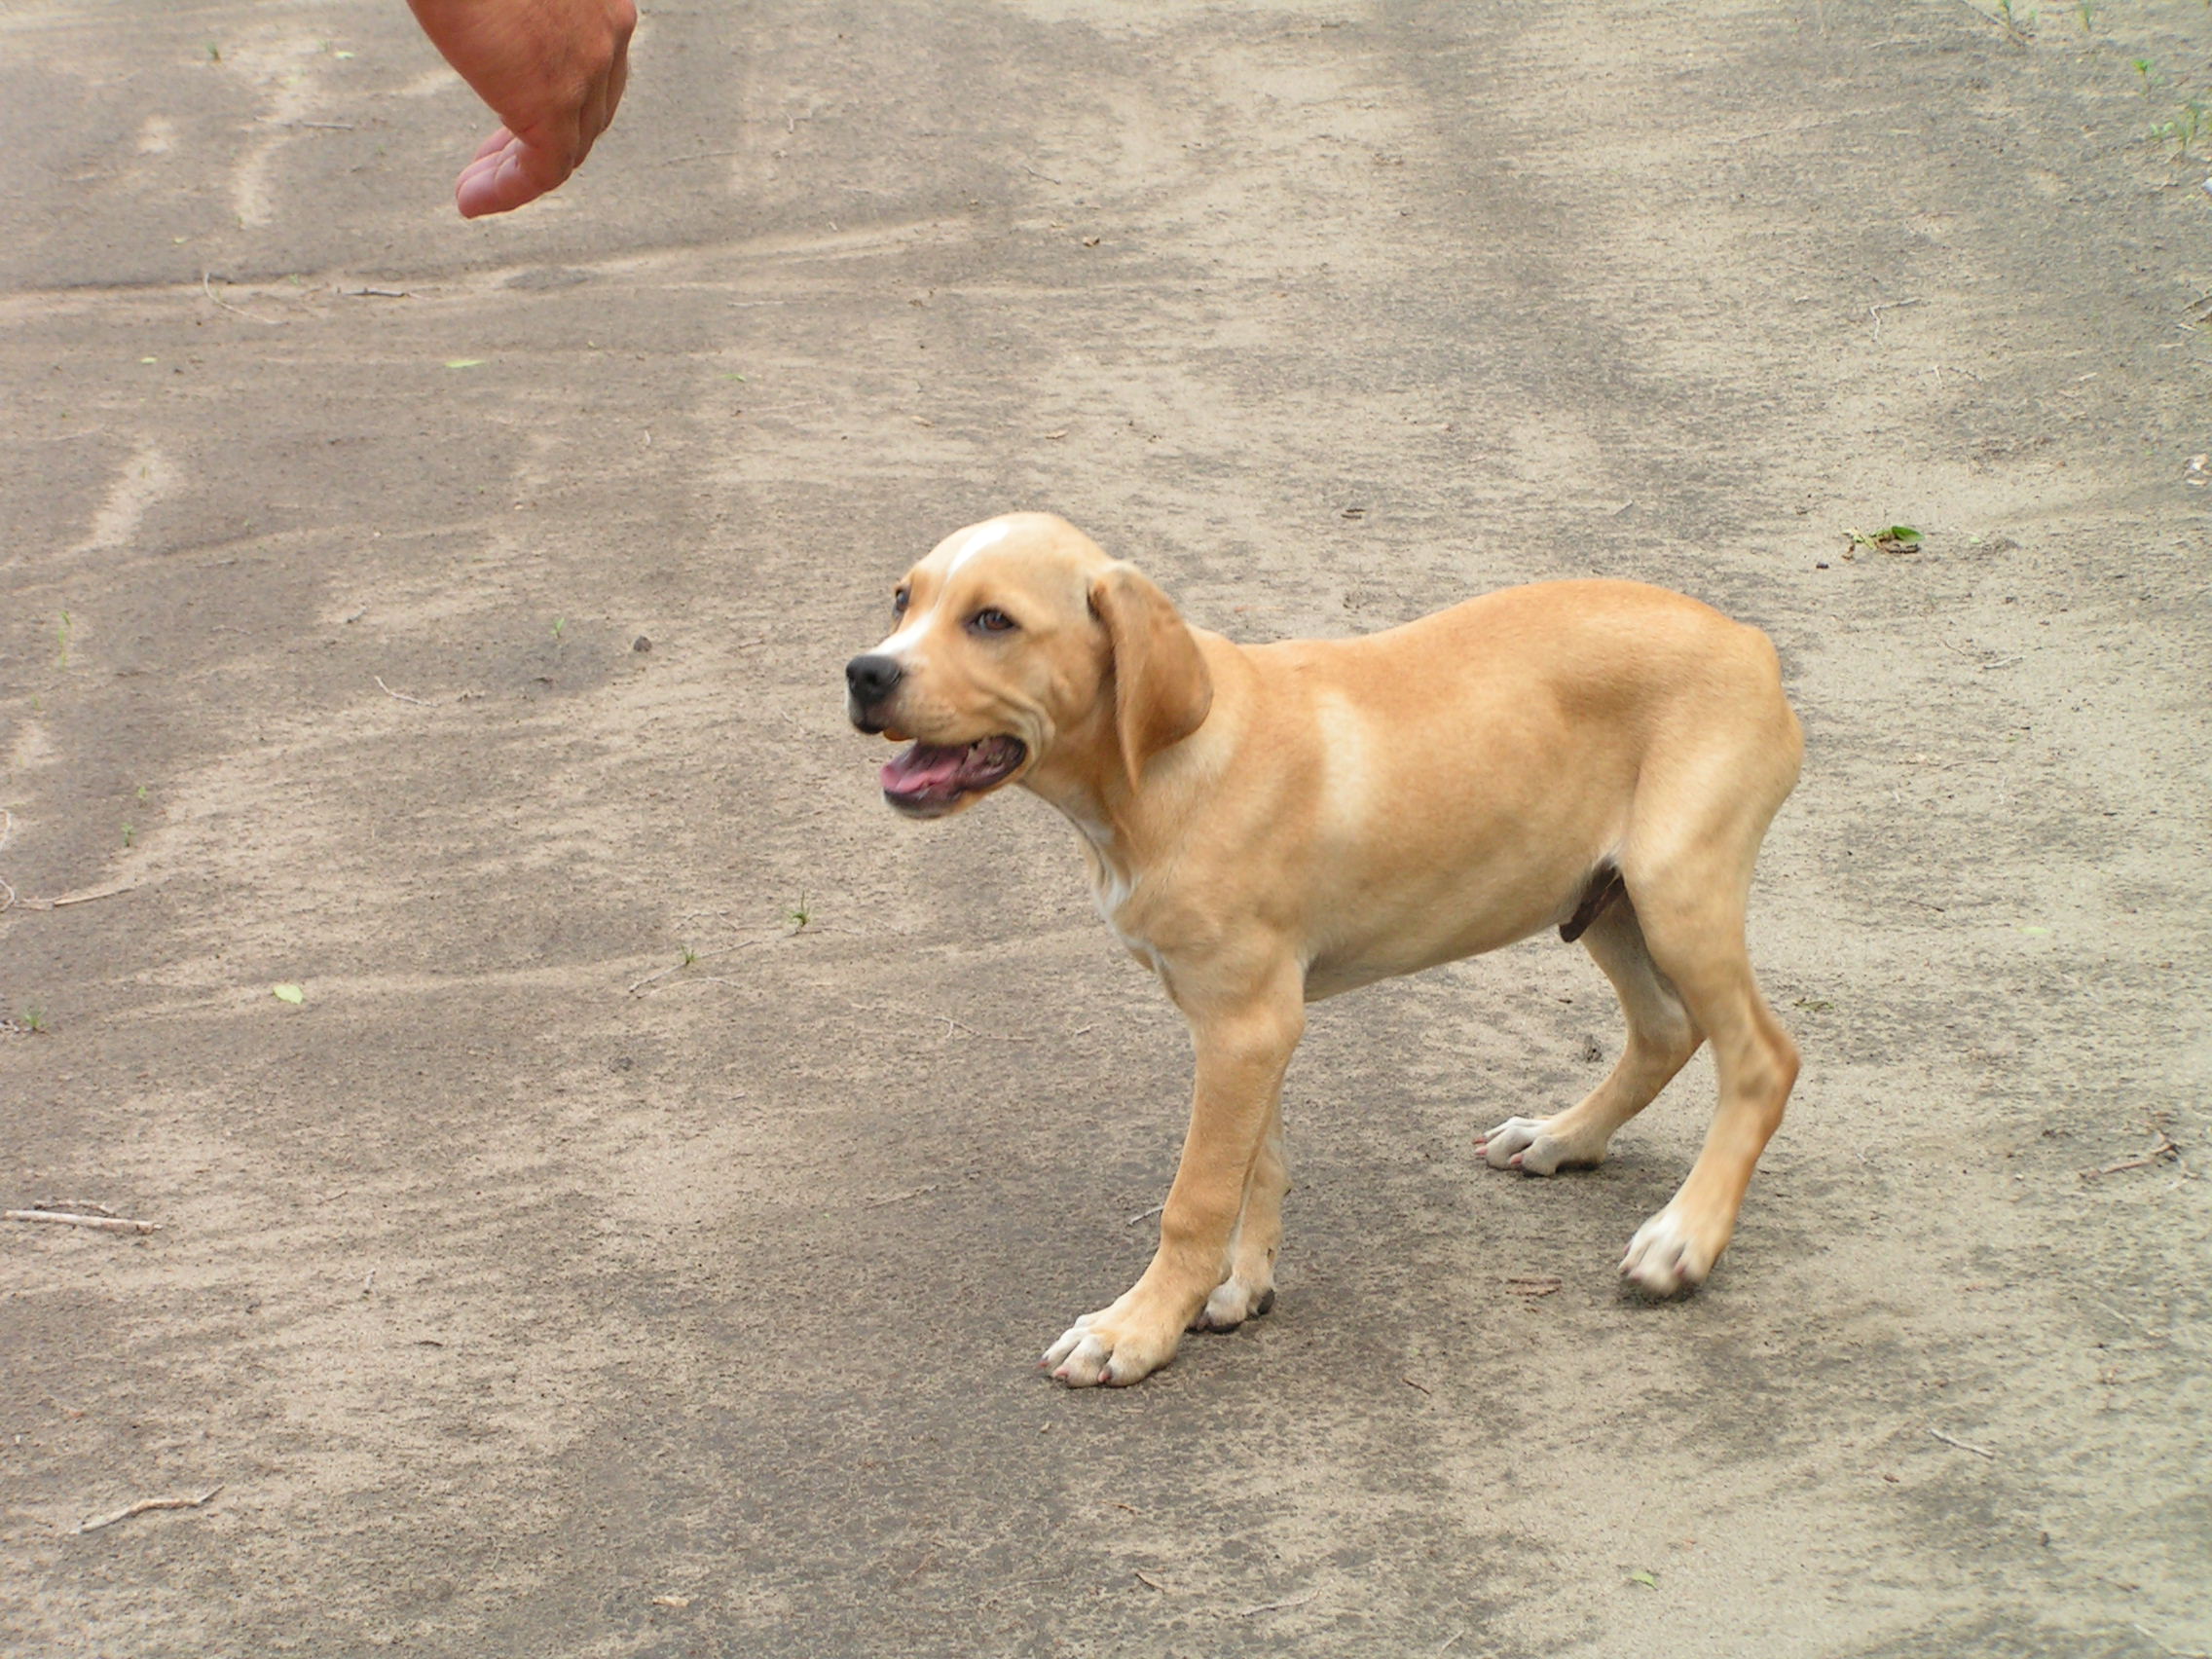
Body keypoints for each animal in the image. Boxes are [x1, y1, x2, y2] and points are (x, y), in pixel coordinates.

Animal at [844, 517, 1795, 1388]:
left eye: (993, 621)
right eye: (902, 599)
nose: (865, 673)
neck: (1161, 769)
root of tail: (1748, 641)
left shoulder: (1246, 1022)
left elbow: (1196, 1195)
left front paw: (1137, 1328)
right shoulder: (1245, 1021)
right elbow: (1256, 1163)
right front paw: (1239, 1288)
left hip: (1677, 887)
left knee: (1763, 1058)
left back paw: (1683, 1237)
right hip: (1600, 897)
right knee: (1666, 1029)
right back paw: (1564, 1137)